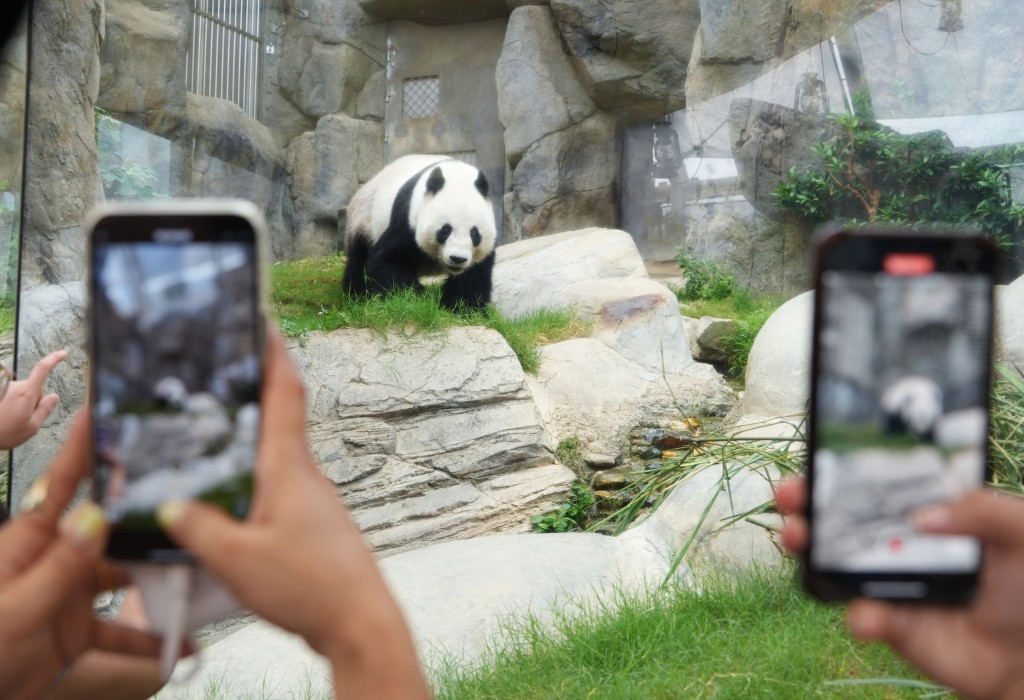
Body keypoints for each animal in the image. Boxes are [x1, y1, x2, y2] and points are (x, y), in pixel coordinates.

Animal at [342, 154, 497, 311]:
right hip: (365, 219)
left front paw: (463, 308)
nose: (457, 259)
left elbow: (472, 278)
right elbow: (389, 260)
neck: (457, 175)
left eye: (474, 233)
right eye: (446, 229)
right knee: (359, 261)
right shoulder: (407, 220)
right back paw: (358, 298)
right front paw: (418, 301)